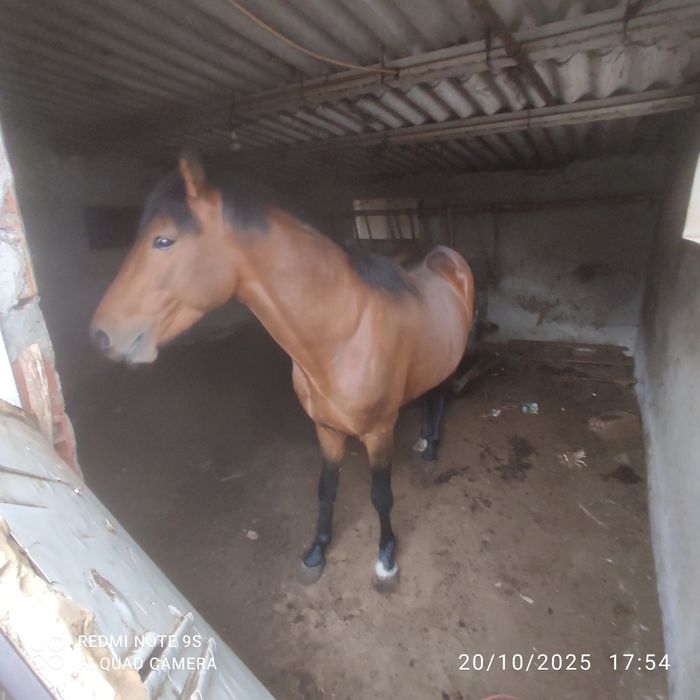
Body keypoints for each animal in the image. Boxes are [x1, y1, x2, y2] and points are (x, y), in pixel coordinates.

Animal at [90, 153, 475, 587]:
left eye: (163, 240)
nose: (100, 335)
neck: (344, 333)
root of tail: (447, 255)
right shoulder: (326, 429)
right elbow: (326, 489)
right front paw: (316, 552)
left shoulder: (379, 433)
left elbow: (381, 496)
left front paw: (386, 559)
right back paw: (426, 440)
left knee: (442, 394)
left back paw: (433, 444)